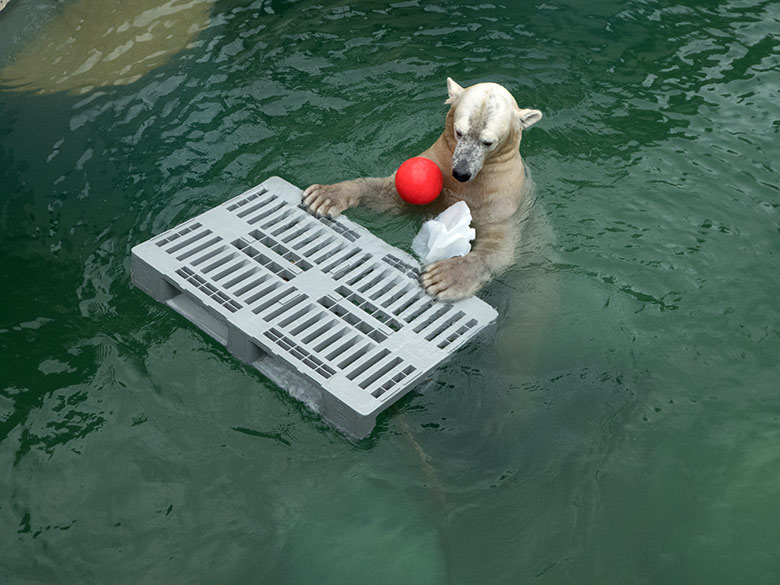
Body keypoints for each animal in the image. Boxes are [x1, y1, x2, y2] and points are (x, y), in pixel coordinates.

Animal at [304, 78, 544, 302]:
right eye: (459, 132)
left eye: (487, 142)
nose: (461, 172)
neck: (466, 187)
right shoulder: (439, 167)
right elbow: (391, 197)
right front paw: (325, 195)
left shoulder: (503, 201)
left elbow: (498, 247)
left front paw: (443, 278)